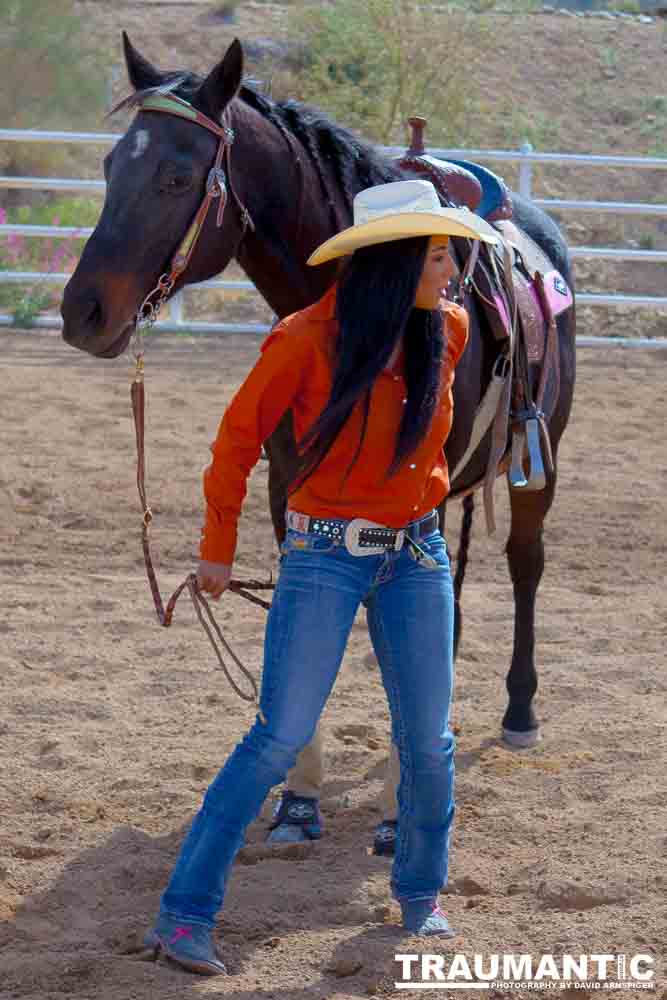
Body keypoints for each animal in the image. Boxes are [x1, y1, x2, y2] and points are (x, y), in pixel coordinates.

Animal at [60, 35, 576, 748]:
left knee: (526, 563)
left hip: (538, 458)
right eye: (112, 165)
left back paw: (521, 708)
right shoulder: (288, 487)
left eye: (176, 177)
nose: (80, 312)